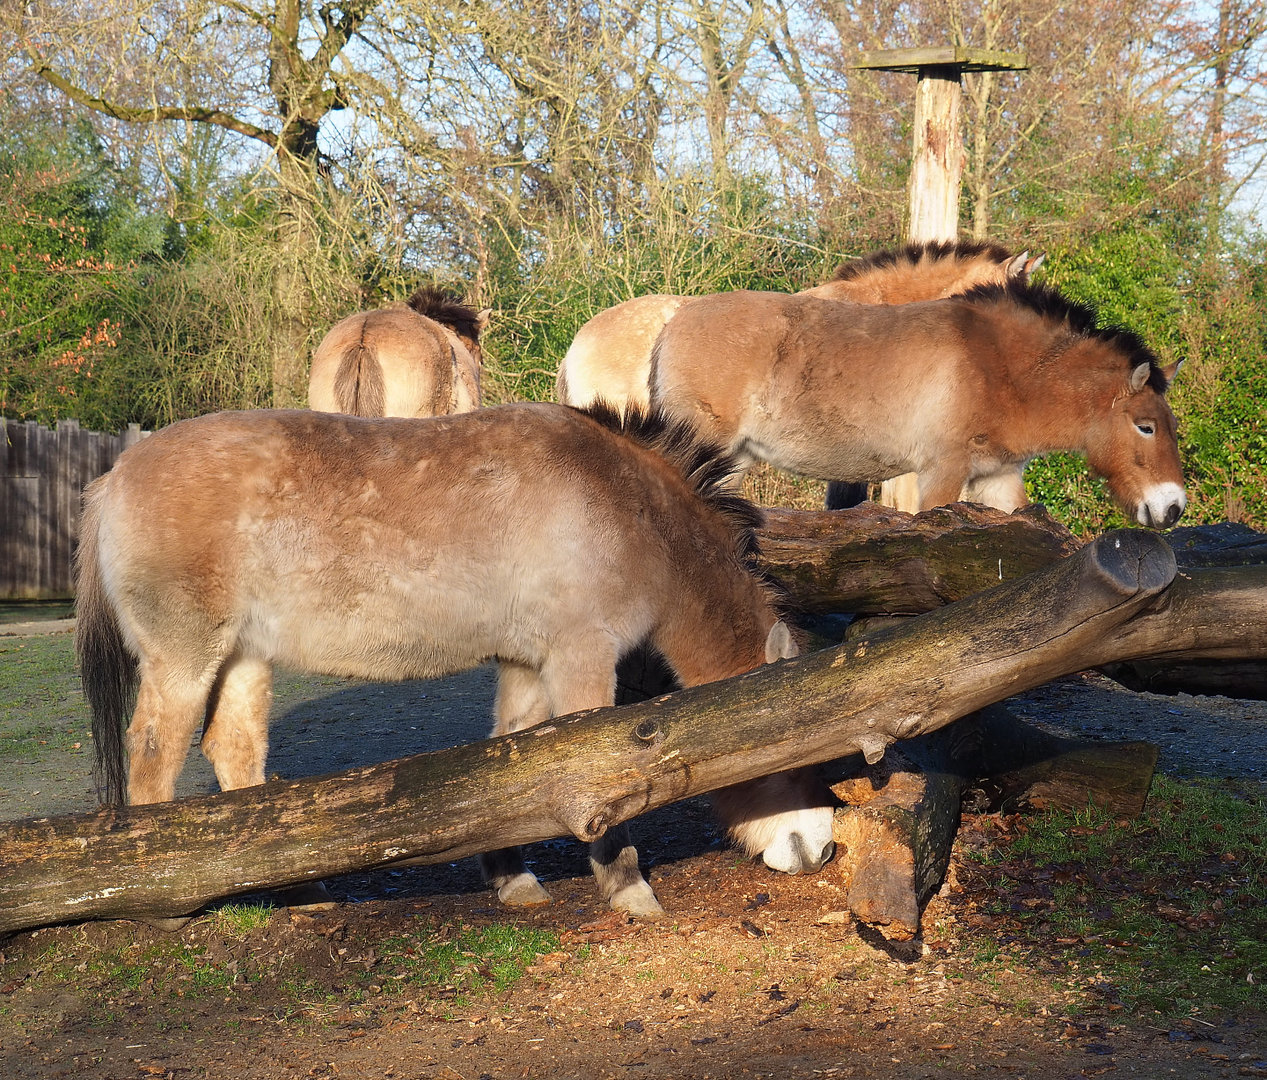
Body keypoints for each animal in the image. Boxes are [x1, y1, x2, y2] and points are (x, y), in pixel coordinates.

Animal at [75, 402, 835, 919]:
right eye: (792, 758)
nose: (822, 848)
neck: (626, 507)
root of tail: (112, 479)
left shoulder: (528, 663)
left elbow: (515, 754)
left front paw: (511, 878)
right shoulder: (580, 658)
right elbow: (604, 773)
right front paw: (628, 888)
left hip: (243, 656)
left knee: (232, 749)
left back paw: (296, 892)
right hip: (185, 659)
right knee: (155, 752)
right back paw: (163, 901)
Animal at [648, 281, 1186, 528]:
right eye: (1145, 427)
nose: (1174, 507)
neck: (995, 364)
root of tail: (673, 324)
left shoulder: (996, 479)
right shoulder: (943, 473)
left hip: (733, 460)